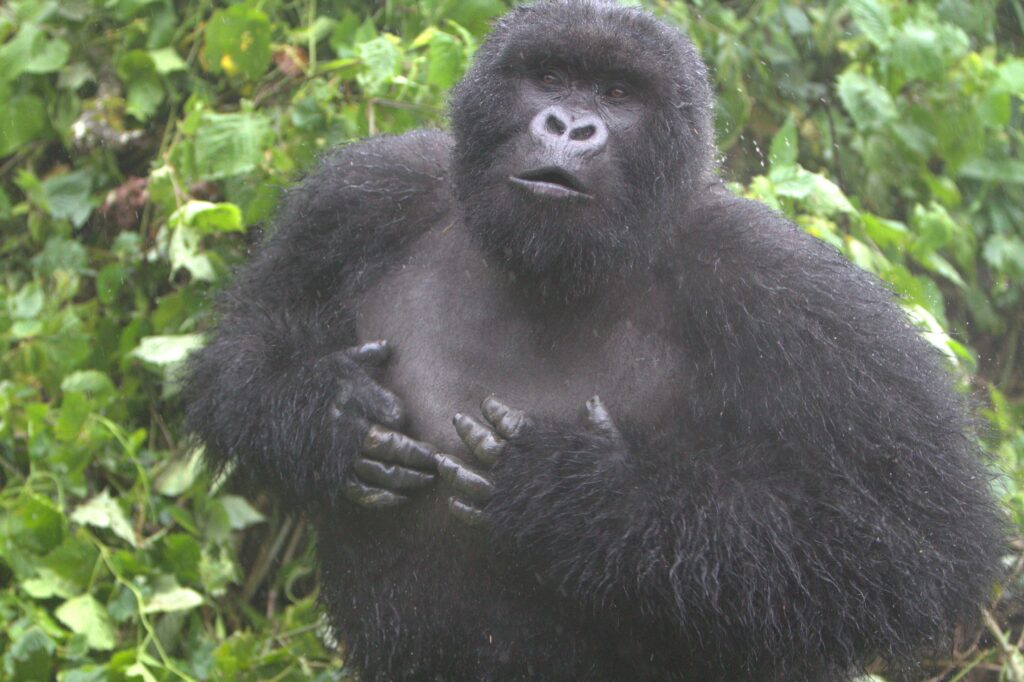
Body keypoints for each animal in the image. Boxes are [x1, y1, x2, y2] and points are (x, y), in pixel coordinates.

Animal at [182, 2, 999, 675]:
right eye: (548, 78)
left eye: (616, 96)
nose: (569, 128)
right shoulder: (363, 192)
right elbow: (240, 351)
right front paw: (325, 413)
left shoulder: (780, 286)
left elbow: (922, 540)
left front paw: (582, 497)